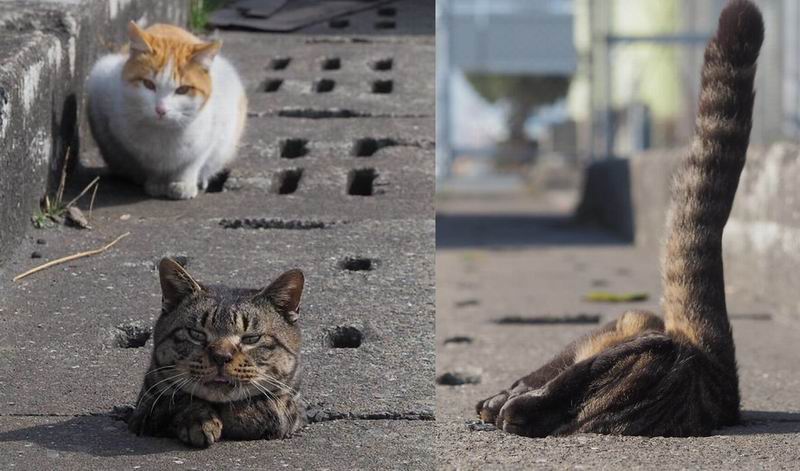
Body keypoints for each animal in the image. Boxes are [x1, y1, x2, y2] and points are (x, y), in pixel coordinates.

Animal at [86, 22, 245, 199]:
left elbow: (192, 163)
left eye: (183, 90)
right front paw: (157, 183)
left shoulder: (213, 133)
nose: (161, 109)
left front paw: (184, 184)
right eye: (148, 84)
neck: (164, 133)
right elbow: (150, 166)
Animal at [128, 258, 306, 446]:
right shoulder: (145, 410)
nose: (221, 357)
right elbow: (179, 400)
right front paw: (198, 419)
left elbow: (270, 408)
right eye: (196, 334)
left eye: (251, 338)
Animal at [476, 0, 764, 438]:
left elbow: (561, 382)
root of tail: (721, 377)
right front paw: (516, 398)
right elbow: (560, 376)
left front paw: (519, 404)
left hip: (632, 328)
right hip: (632, 325)